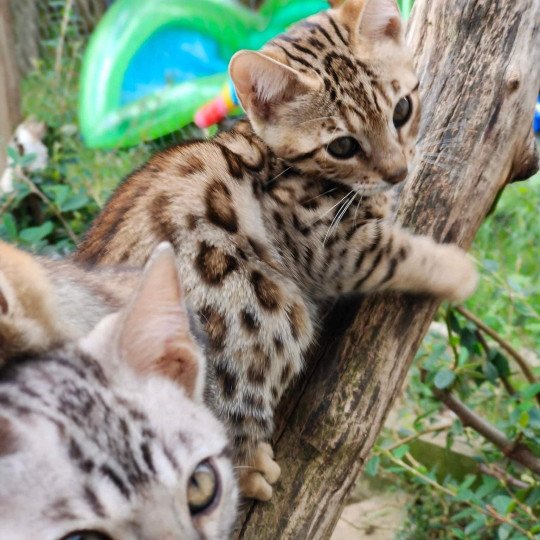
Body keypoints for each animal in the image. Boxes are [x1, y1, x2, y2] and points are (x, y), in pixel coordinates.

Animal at [77, 0, 476, 502]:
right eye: (342, 145)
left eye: (402, 109)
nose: (397, 172)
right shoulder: (328, 248)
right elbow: (400, 253)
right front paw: (457, 269)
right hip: (265, 308)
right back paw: (252, 468)